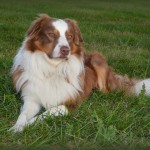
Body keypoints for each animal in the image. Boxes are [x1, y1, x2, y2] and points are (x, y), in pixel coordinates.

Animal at [10, 13, 150, 132]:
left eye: (69, 36)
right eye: (51, 34)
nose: (65, 50)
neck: (54, 68)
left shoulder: (70, 103)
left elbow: (46, 113)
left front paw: (28, 125)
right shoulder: (31, 98)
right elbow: (23, 114)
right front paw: (17, 127)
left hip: (96, 59)